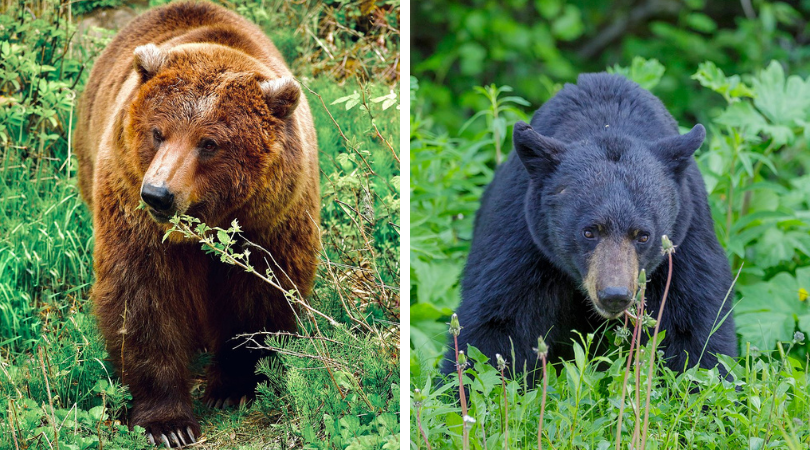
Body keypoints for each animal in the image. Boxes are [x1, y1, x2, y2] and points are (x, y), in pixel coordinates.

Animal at [73, 2, 318, 446]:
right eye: (157, 132)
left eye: (210, 143)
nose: (158, 194)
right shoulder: (135, 217)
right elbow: (144, 300)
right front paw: (168, 424)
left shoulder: (269, 222)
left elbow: (258, 297)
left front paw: (234, 388)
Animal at [446, 73, 736, 380]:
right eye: (589, 231)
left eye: (643, 235)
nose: (614, 295)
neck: (608, 121)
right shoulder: (522, 235)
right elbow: (497, 324)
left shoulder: (686, 236)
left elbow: (695, 325)